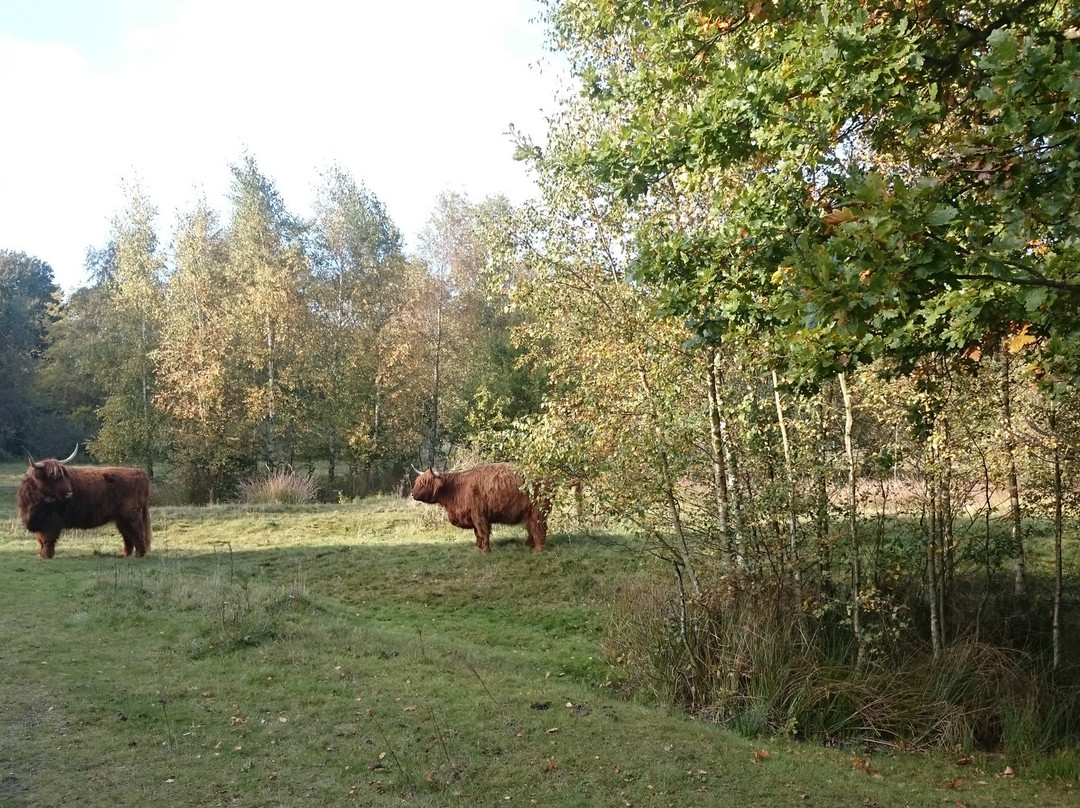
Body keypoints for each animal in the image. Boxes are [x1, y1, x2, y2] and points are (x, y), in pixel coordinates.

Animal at [16, 445, 152, 557]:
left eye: (62, 476)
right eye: (53, 477)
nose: (69, 493)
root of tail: (140, 472)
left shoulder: (51, 521)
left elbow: (47, 539)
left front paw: (46, 555)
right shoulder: (39, 521)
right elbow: (40, 540)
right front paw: (40, 554)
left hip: (131, 514)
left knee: (137, 532)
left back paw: (140, 554)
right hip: (121, 518)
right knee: (127, 535)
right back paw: (125, 554)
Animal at [410, 464, 552, 553]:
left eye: (424, 483)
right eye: (417, 481)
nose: (412, 494)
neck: (455, 489)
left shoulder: (479, 515)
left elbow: (483, 532)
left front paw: (485, 550)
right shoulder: (472, 516)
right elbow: (477, 533)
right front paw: (477, 547)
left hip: (538, 509)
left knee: (539, 528)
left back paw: (538, 550)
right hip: (529, 512)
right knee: (531, 527)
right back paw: (528, 545)